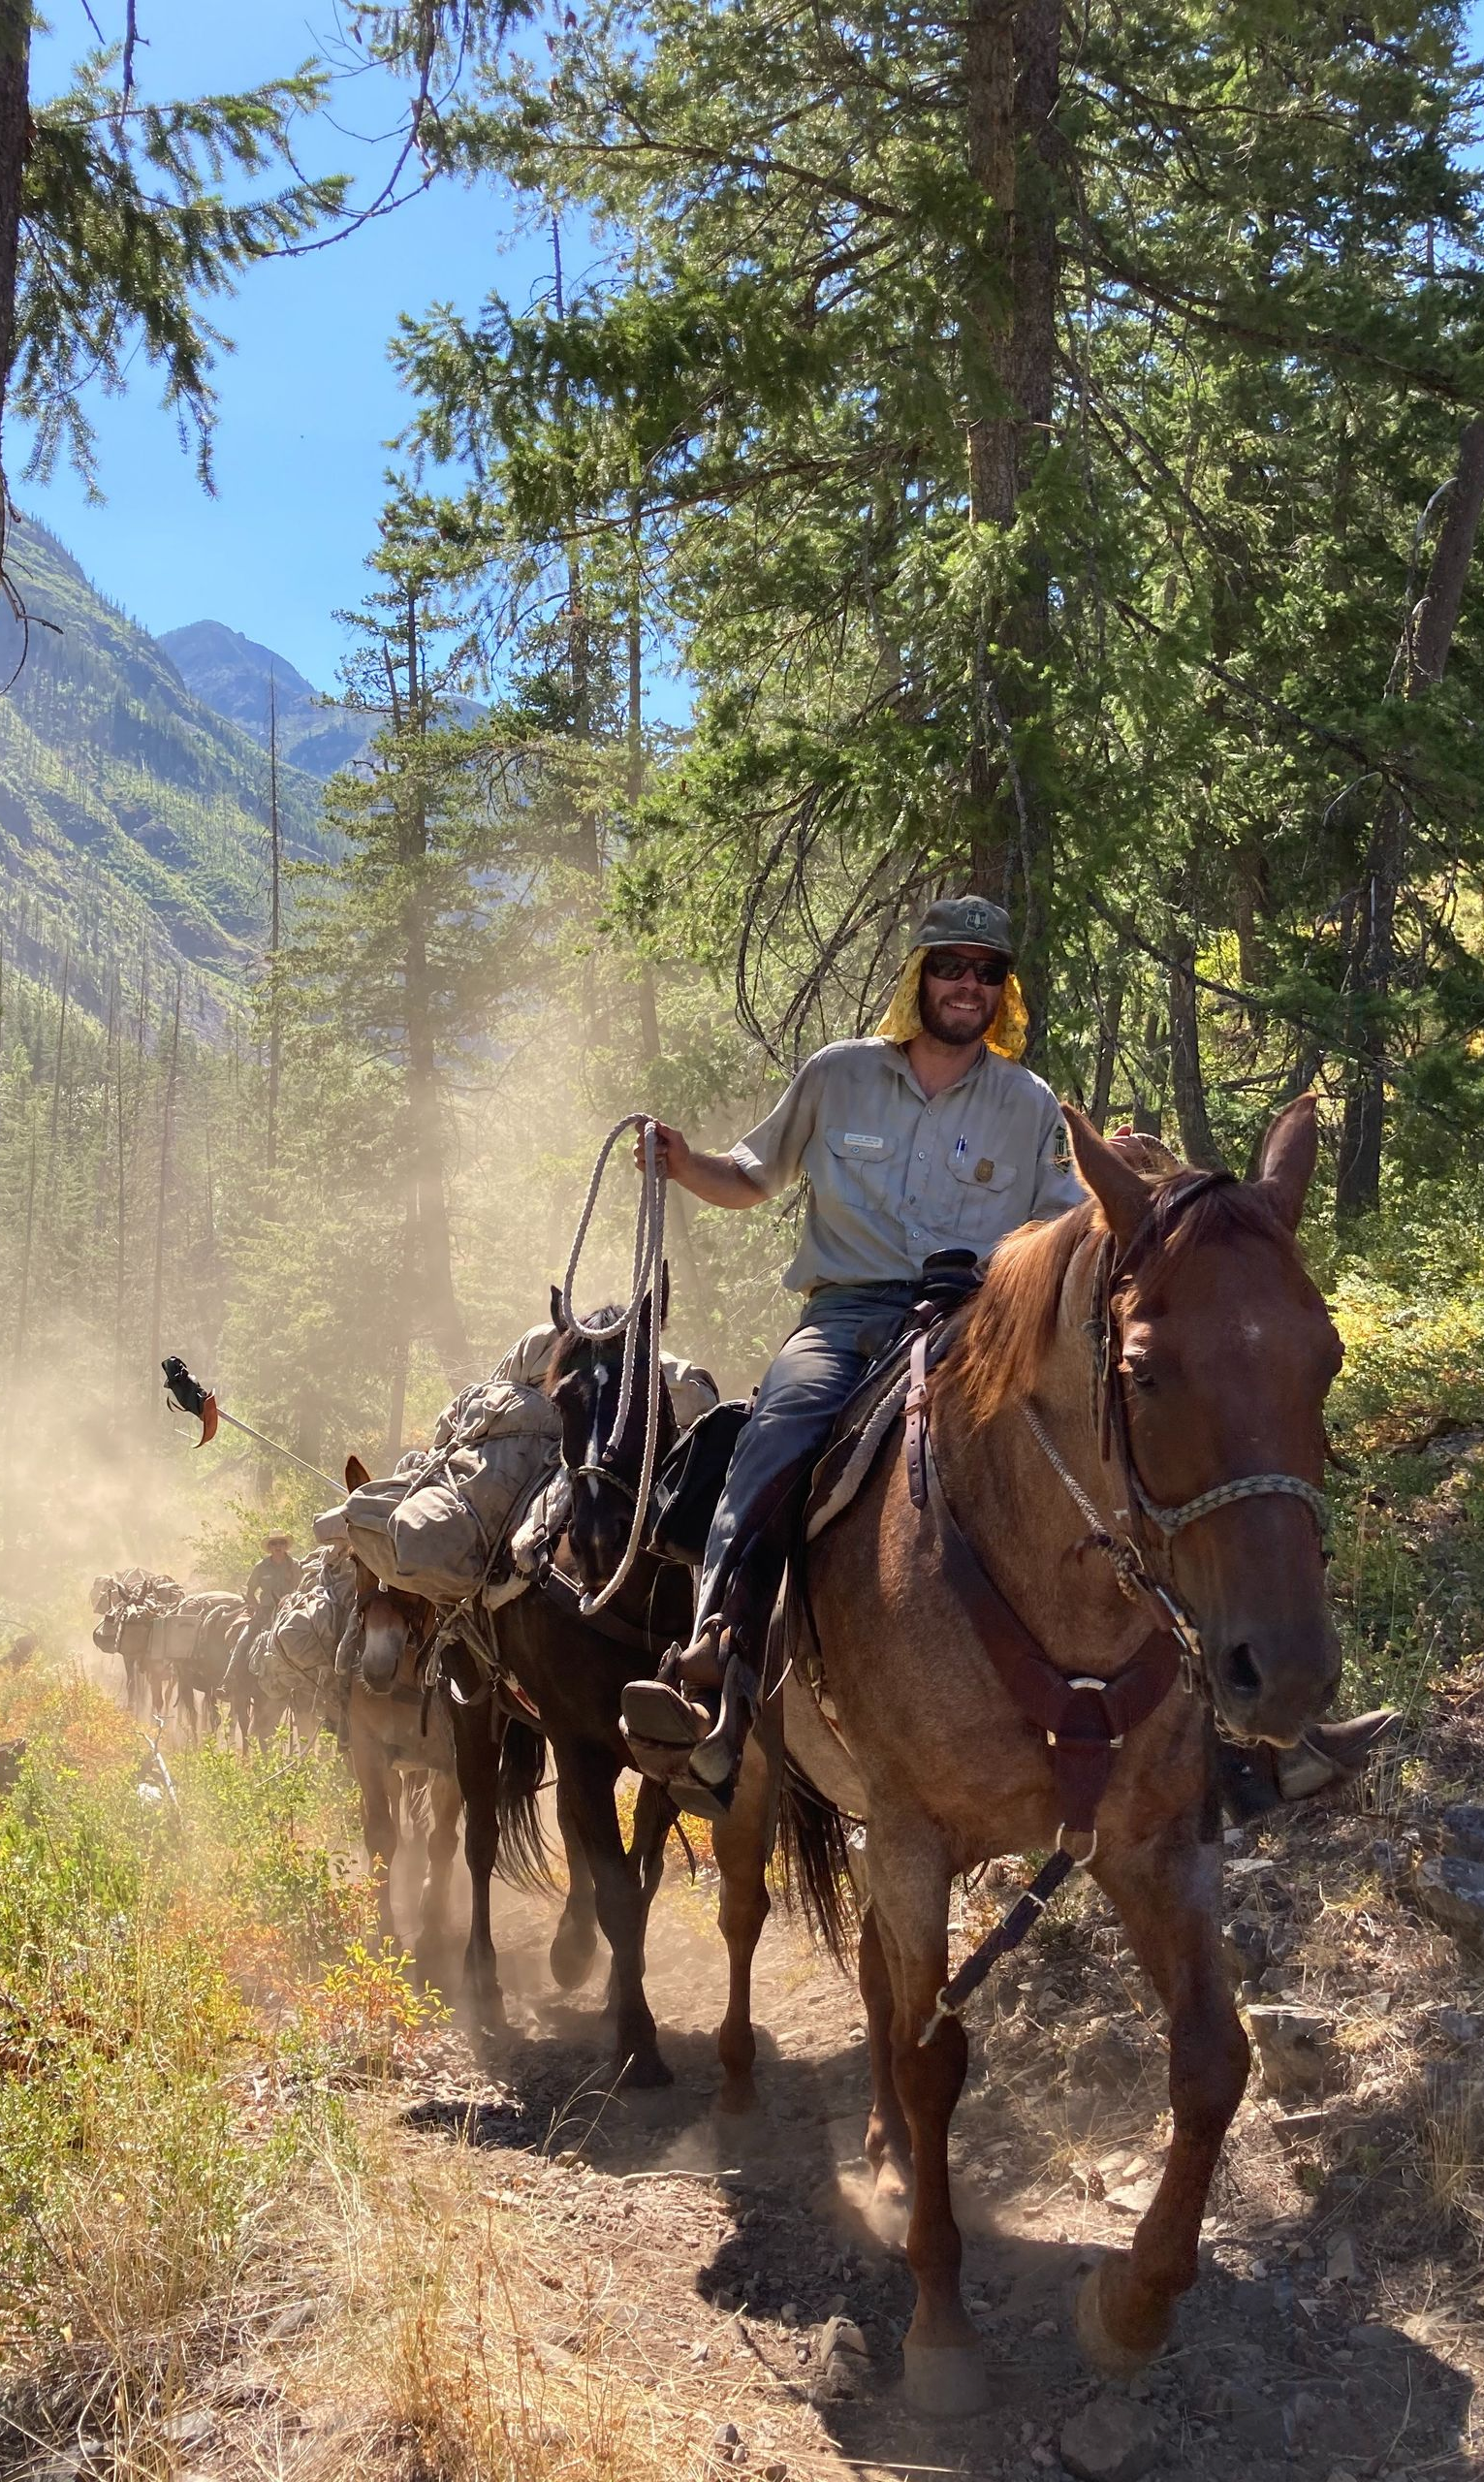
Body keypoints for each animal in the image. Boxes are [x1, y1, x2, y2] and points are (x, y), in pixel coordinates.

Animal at [703, 1096, 1343, 2414]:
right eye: (1144, 1371)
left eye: (1326, 1357)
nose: (1288, 1673)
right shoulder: (914, 1839)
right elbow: (937, 2056)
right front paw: (939, 2324)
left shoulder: (1153, 1843)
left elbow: (1213, 2059)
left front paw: (1135, 2303)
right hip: (761, 1779)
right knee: (746, 1913)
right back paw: (740, 2095)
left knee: (881, 1981)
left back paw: (889, 2157)